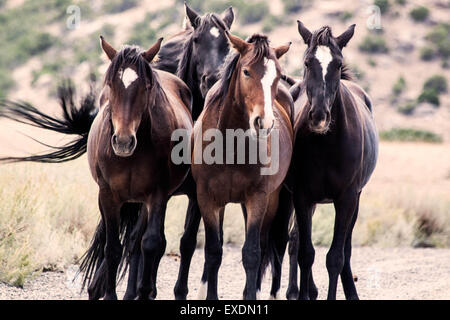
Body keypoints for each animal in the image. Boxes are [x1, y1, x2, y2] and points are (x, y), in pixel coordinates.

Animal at [286, 21, 378, 298]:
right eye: (307, 62)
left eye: (337, 64)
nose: (319, 116)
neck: (327, 144)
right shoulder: (302, 197)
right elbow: (306, 253)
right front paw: (304, 293)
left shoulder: (346, 198)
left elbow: (335, 257)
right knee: (295, 240)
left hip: (355, 200)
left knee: (345, 248)